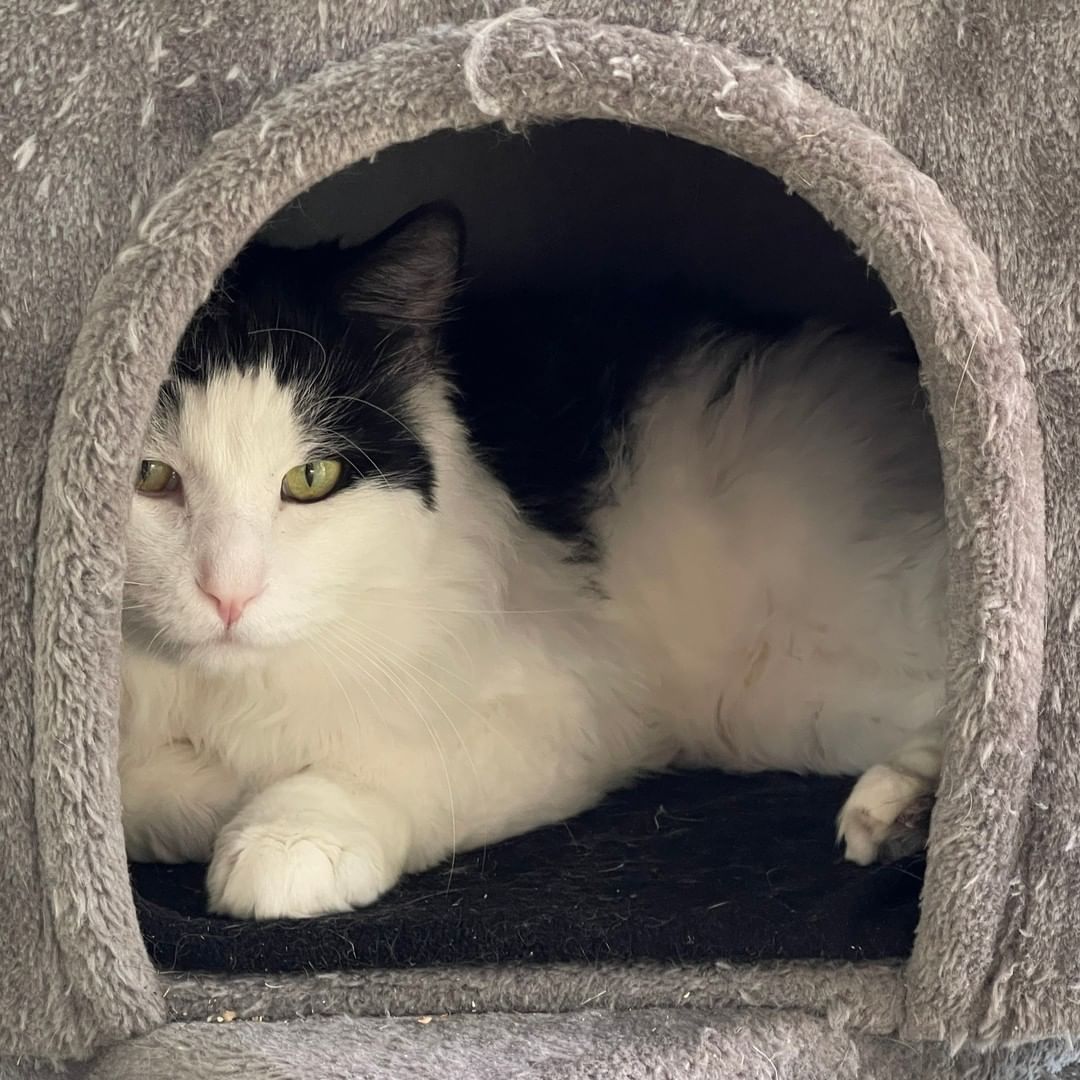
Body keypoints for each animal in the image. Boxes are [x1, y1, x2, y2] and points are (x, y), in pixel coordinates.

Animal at [120, 204, 946, 920]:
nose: (228, 594)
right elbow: (142, 795)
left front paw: (288, 835)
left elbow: (385, 759)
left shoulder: (571, 710)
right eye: (149, 476)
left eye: (310, 478)